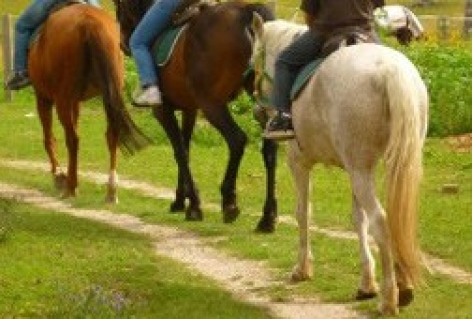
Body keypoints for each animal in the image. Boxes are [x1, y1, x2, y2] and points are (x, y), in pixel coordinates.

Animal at [28, 3, 149, 202]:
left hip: (61, 100)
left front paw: (59, 175)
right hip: (109, 95)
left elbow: (49, 138)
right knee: (112, 133)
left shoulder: (43, 97)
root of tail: (89, 23)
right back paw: (111, 190)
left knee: (72, 139)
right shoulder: (75, 102)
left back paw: (71, 187)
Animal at [113, 0, 278, 231]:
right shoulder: (189, 109)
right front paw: (180, 200)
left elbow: (180, 152)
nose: (122, 43)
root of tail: (246, 13)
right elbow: (187, 149)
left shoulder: (162, 110)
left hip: (210, 102)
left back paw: (229, 201)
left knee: (237, 140)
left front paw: (193, 206)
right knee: (270, 149)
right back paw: (267, 217)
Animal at [254, 20, 432, 318]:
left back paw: (389, 298)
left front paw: (302, 268)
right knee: (397, 217)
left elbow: (303, 213)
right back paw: (403, 286)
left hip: (360, 172)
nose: (258, 112)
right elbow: (357, 219)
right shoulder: (354, 168)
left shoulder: (299, 163)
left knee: (381, 221)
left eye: (253, 58)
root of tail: (388, 69)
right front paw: (366, 283)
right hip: (385, 166)